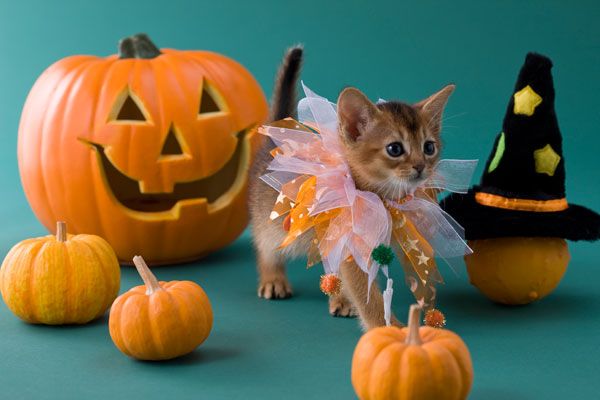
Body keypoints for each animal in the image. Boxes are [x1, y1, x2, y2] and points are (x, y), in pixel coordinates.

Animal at [248, 47, 454, 330]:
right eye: (395, 149)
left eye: (429, 147)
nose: (421, 166)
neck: (376, 196)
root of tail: (276, 136)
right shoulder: (351, 247)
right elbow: (367, 296)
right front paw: (387, 328)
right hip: (270, 223)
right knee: (265, 248)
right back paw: (273, 279)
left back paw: (340, 300)